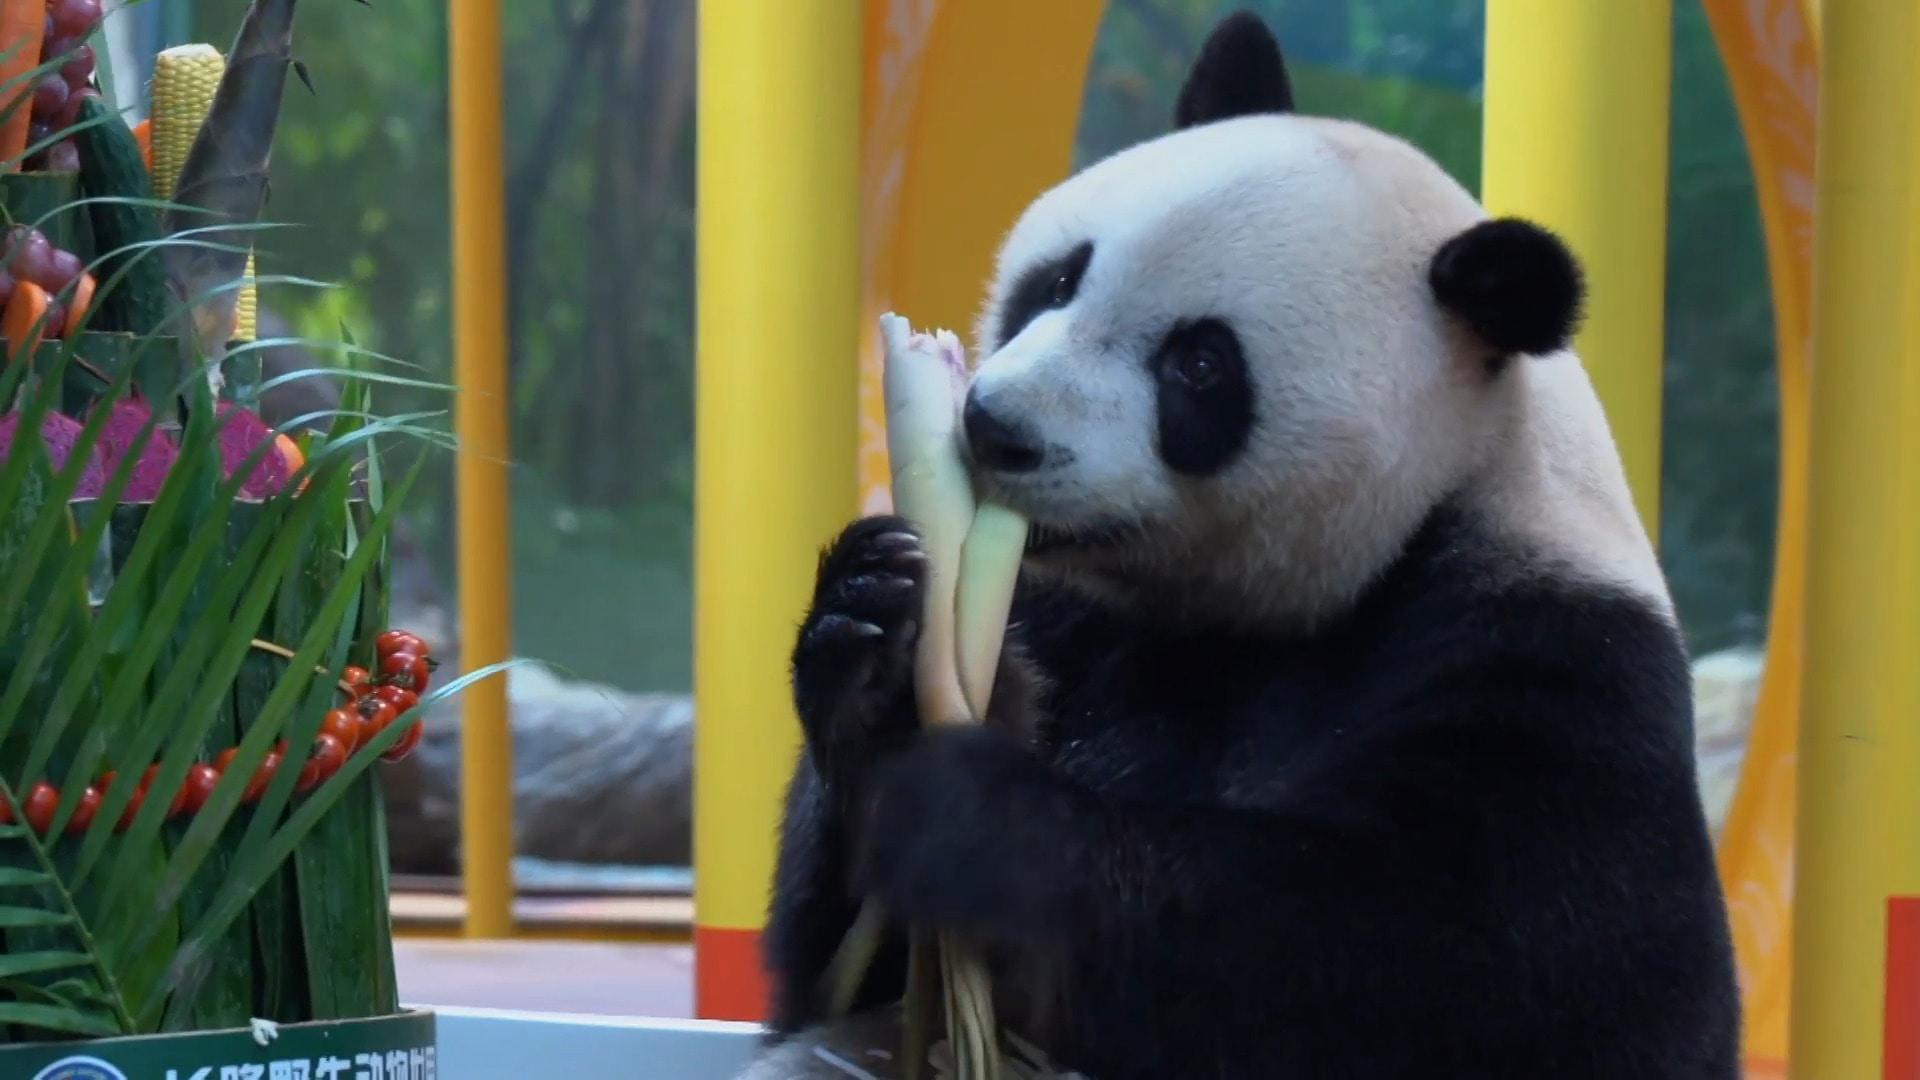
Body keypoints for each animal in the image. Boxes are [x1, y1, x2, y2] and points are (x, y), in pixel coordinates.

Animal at [747, 12, 1740, 1079]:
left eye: (1199, 364)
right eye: (1059, 279)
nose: (996, 429)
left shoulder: (1549, 657)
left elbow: (1464, 959)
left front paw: (977, 818)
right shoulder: (1070, 613)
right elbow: (837, 971)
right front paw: (878, 650)